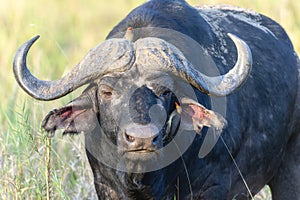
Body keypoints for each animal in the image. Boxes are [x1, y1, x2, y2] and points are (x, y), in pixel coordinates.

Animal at [12, 0, 298, 199]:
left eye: (165, 91)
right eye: (106, 91)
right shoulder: (105, 187)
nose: (142, 139)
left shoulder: (213, 187)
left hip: (288, 172)